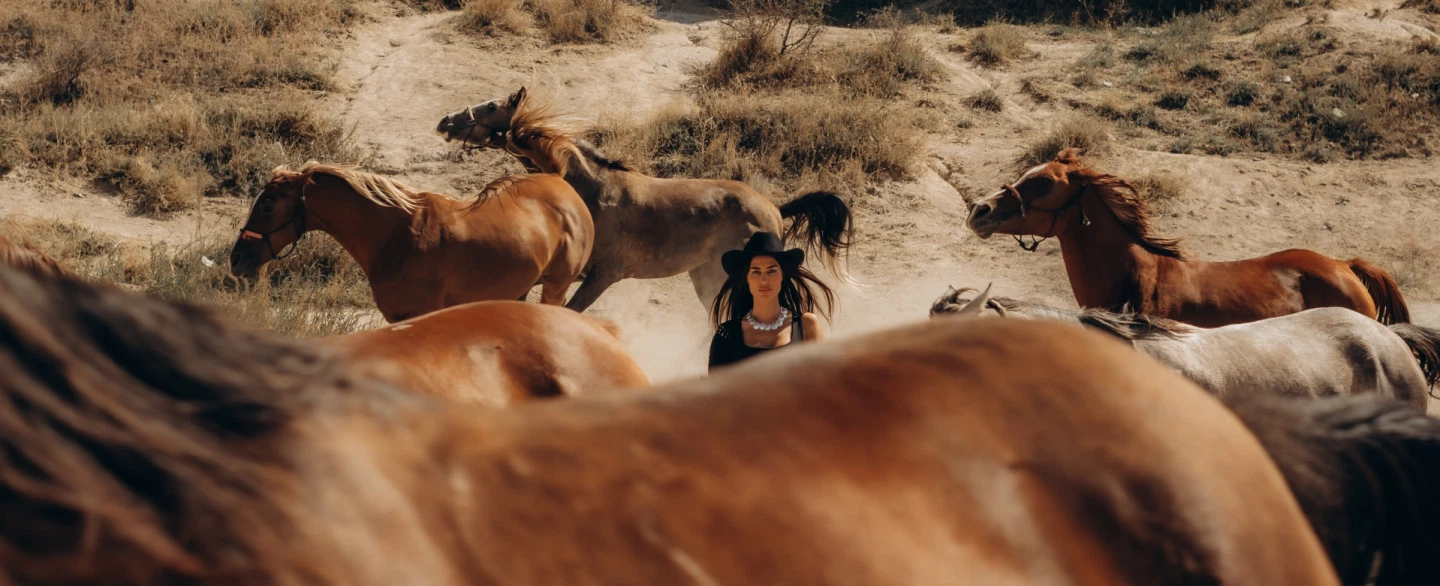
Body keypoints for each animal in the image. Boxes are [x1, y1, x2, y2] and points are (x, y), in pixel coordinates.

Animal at [435, 87, 855, 313]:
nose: (445, 121)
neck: (589, 193)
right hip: (706, 276)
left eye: (492, 106)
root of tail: (774, 210)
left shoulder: (600, 277)